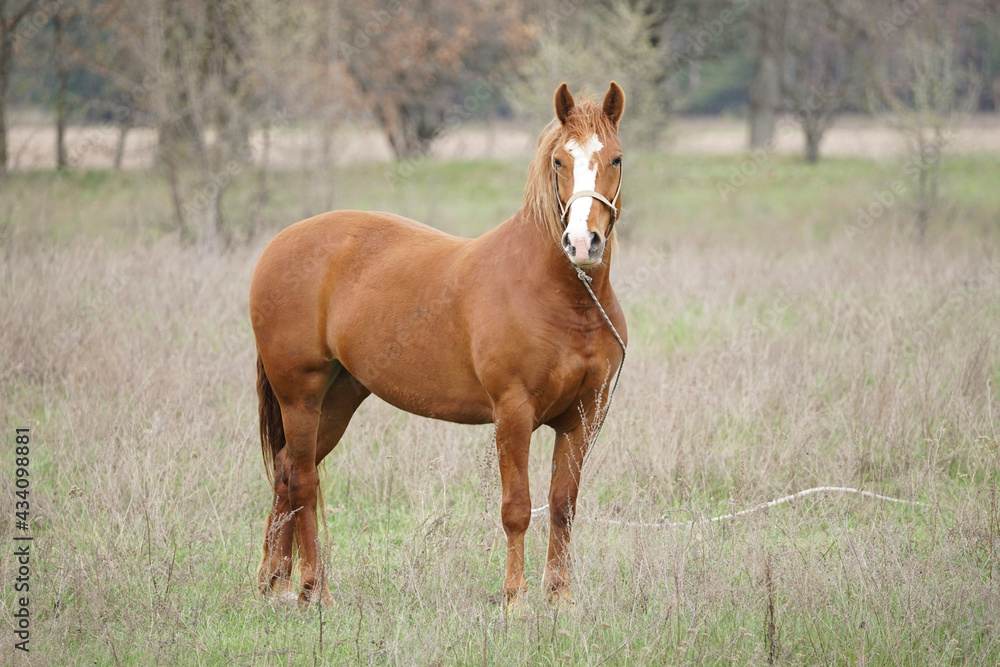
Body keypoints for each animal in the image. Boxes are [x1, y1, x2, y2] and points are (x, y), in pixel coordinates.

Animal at [249, 82, 628, 608]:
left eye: (615, 158)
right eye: (559, 161)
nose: (582, 243)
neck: (565, 298)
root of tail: (279, 244)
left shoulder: (583, 417)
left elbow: (562, 505)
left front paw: (560, 599)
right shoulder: (513, 413)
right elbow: (517, 507)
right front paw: (515, 601)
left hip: (339, 398)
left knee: (286, 472)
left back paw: (275, 582)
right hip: (299, 396)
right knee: (303, 479)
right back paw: (311, 588)